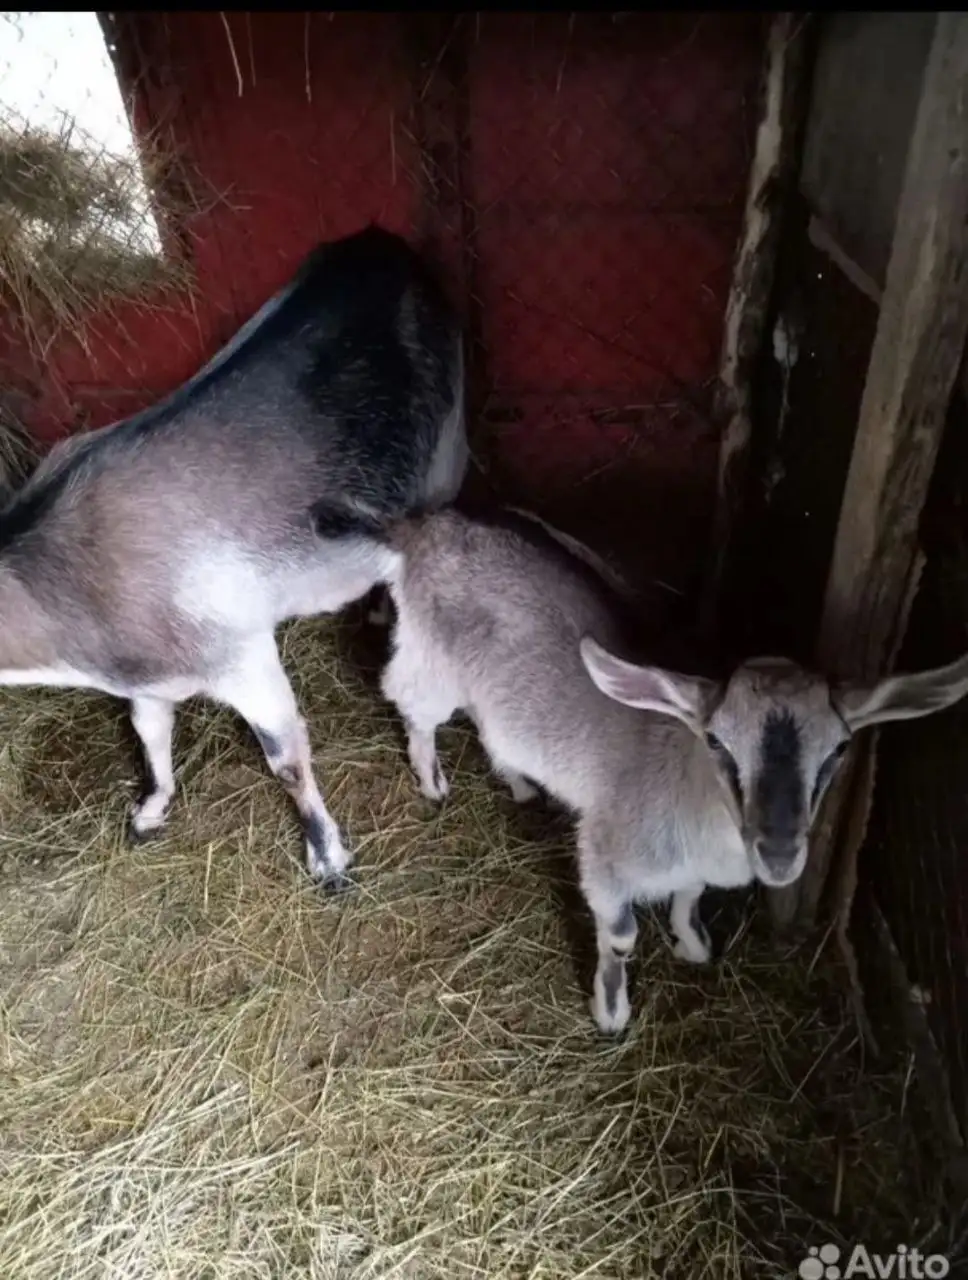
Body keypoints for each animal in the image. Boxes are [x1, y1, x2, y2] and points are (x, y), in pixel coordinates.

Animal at [0, 225, 467, 889]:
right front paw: (151, 810)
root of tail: (378, 242)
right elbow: (150, 735)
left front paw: (328, 860)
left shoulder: (243, 655)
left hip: (449, 454)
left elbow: (286, 761)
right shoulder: (147, 677)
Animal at [341, 506, 968, 1032]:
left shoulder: (691, 866)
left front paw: (692, 945)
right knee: (412, 705)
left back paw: (519, 782)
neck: (693, 794)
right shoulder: (608, 859)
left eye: (839, 749)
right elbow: (620, 938)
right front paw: (611, 1012)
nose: (779, 853)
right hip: (430, 660)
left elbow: (689, 896)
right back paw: (432, 782)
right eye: (716, 742)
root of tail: (426, 529)